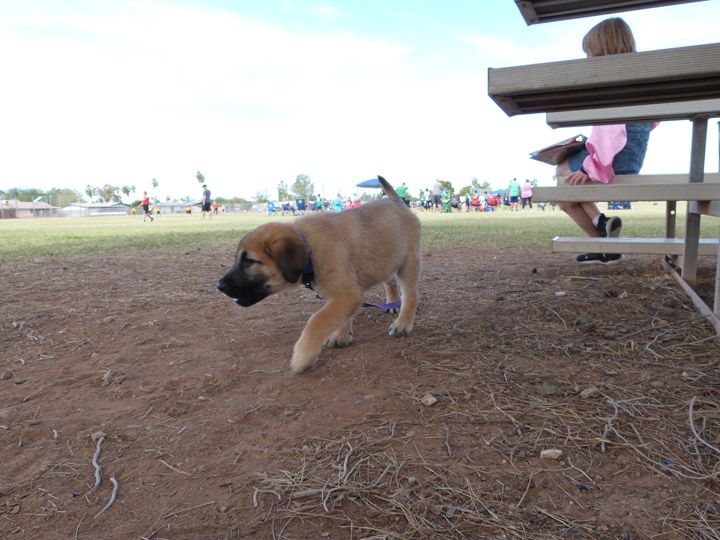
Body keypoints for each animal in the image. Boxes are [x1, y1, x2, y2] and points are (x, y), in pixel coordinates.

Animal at [217, 175, 420, 374]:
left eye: (249, 261)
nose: (219, 286)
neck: (310, 250)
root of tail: (398, 202)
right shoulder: (344, 295)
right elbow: (339, 317)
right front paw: (341, 335)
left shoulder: (347, 294)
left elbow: (317, 321)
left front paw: (302, 357)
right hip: (388, 259)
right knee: (390, 281)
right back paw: (392, 302)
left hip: (408, 263)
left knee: (410, 295)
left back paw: (402, 323)